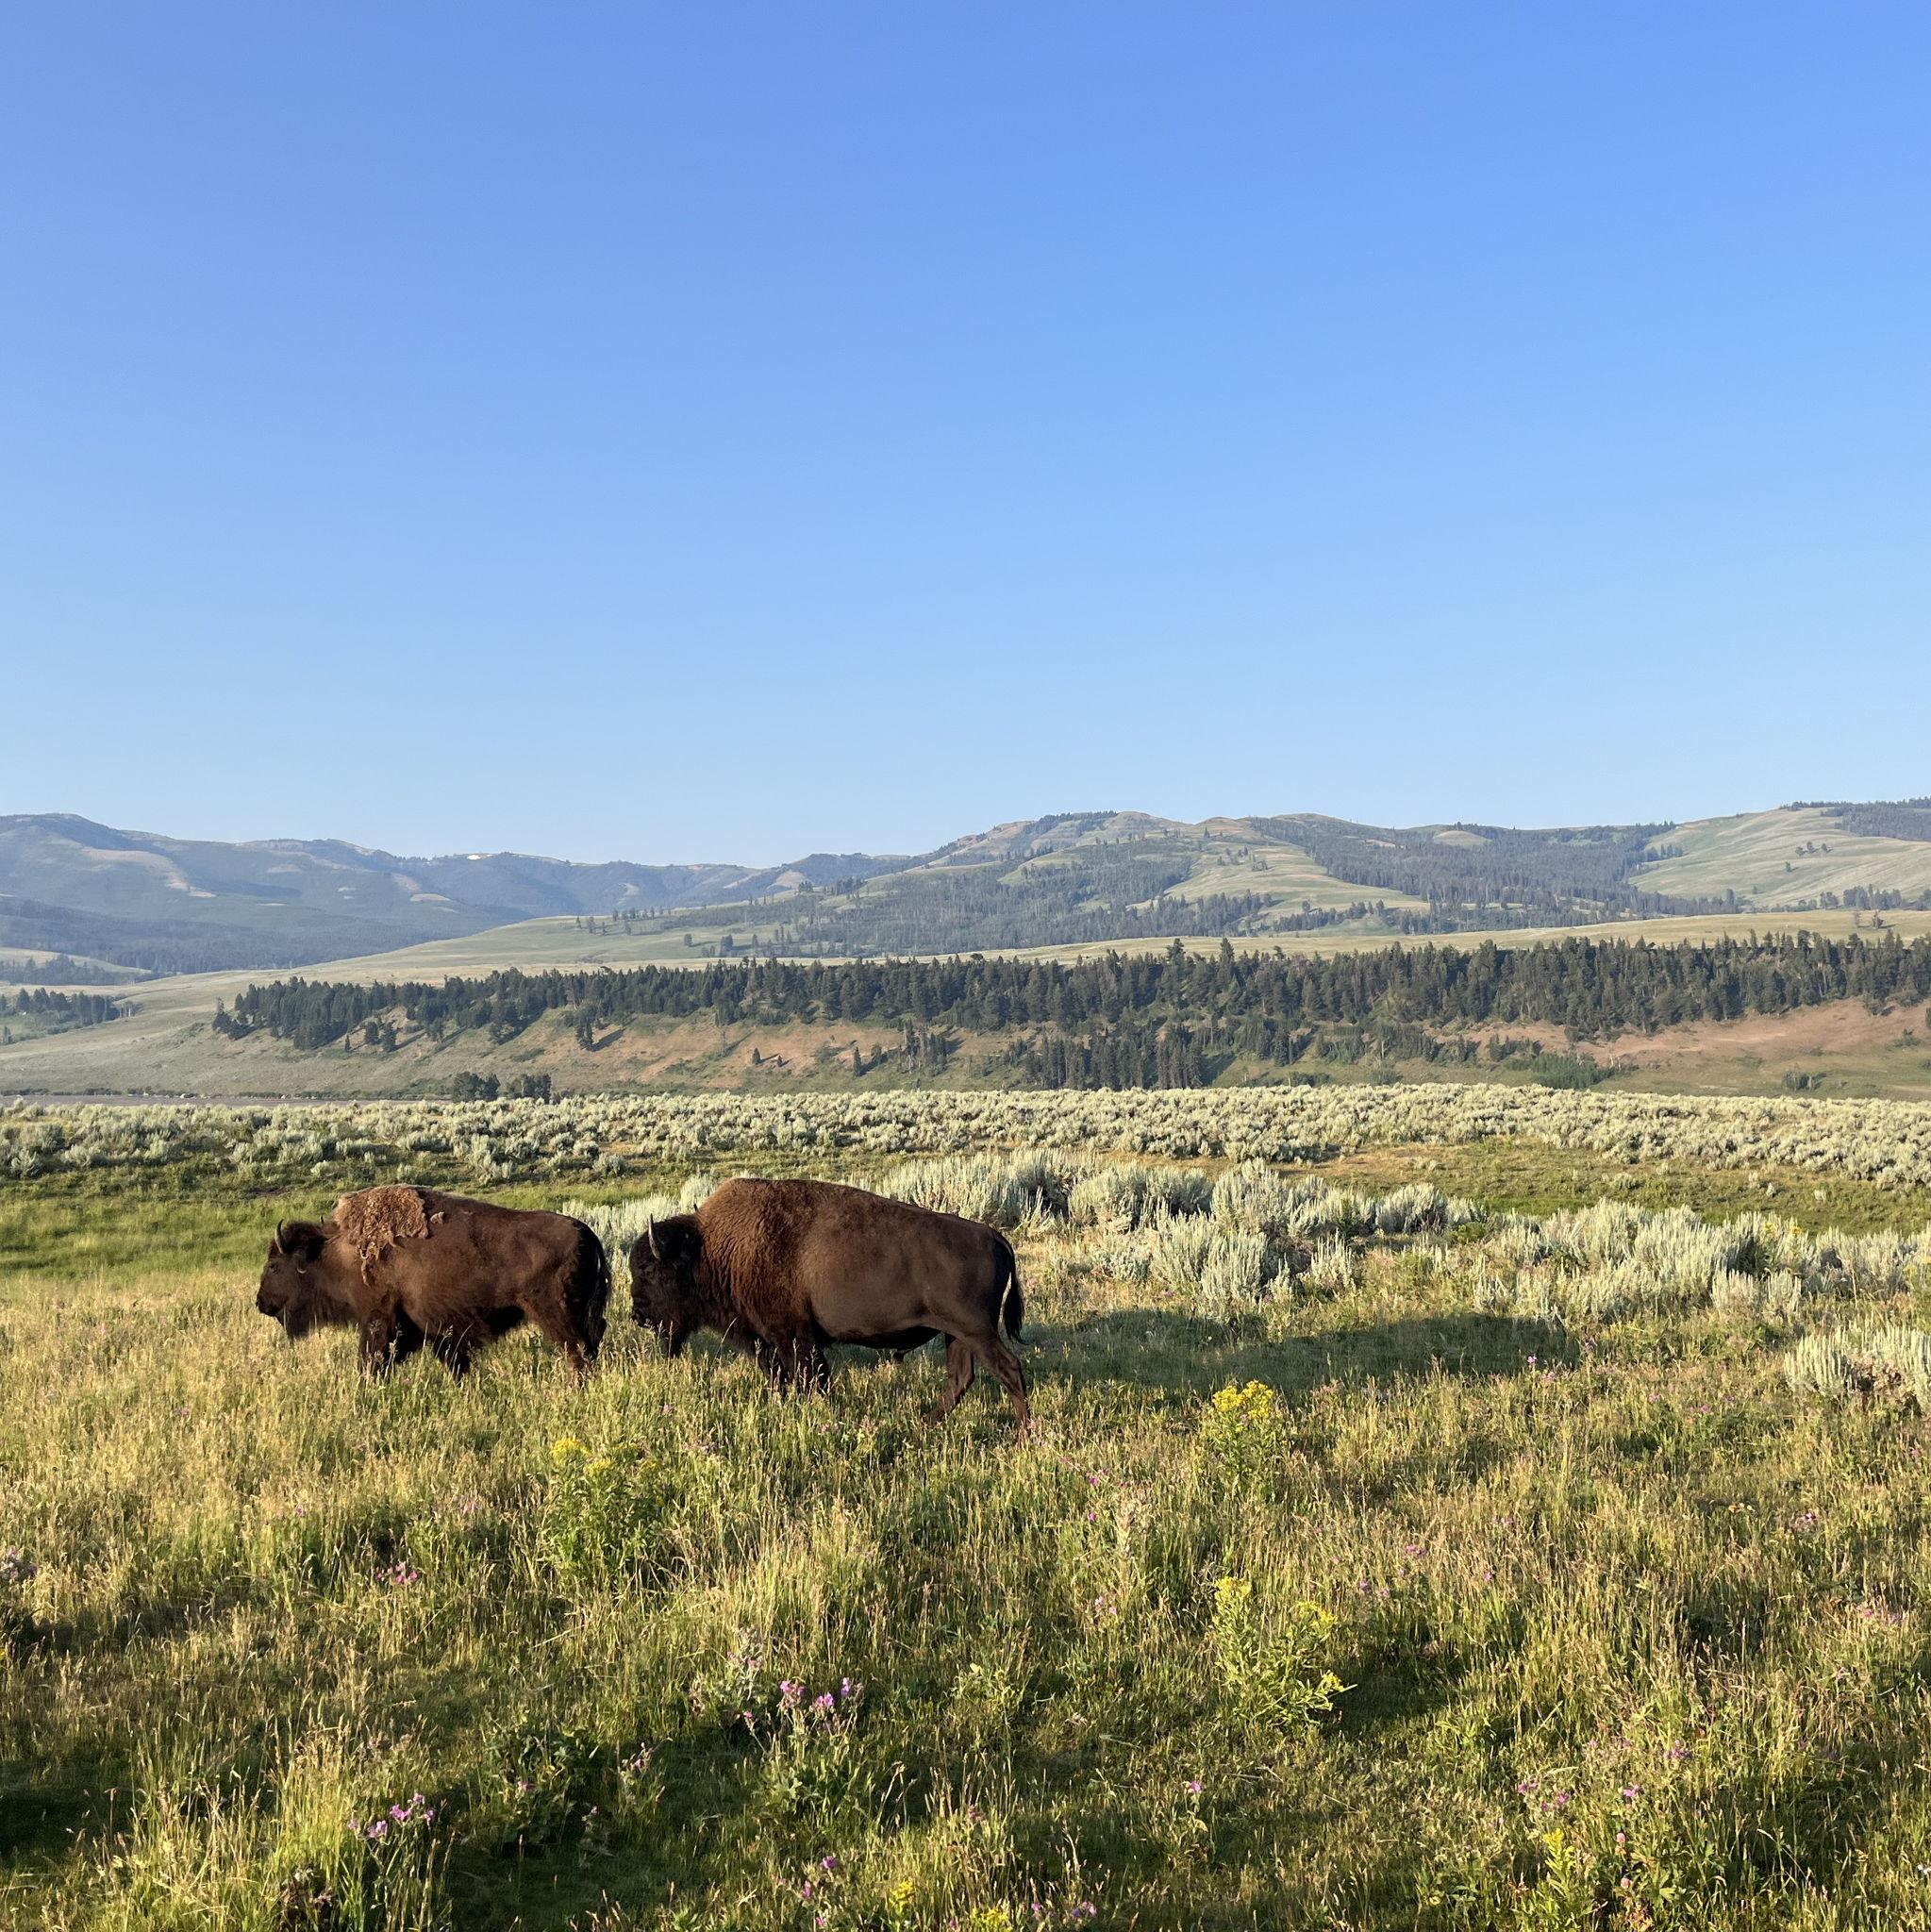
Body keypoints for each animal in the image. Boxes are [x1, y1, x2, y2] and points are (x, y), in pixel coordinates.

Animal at [257, 1184, 609, 1380]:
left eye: (274, 1265)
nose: (260, 1302)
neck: (338, 1253)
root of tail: (586, 1233)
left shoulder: (379, 1319)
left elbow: (371, 1360)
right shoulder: (433, 1330)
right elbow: (452, 1362)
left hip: (553, 1314)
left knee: (577, 1350)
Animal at [629, 1176, 1030, 1430]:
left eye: (648, 1270)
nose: (637, 1315)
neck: (711, 1248)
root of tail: (994, 1236)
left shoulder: (792, 1336)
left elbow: (812, 1378)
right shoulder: (770, 1342)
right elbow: (783, 1378)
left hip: (976, 1332)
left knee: (1009, 1369)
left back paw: (1024, 1434)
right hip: (956, 1335)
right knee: (961, 1378)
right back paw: (926, 1422)